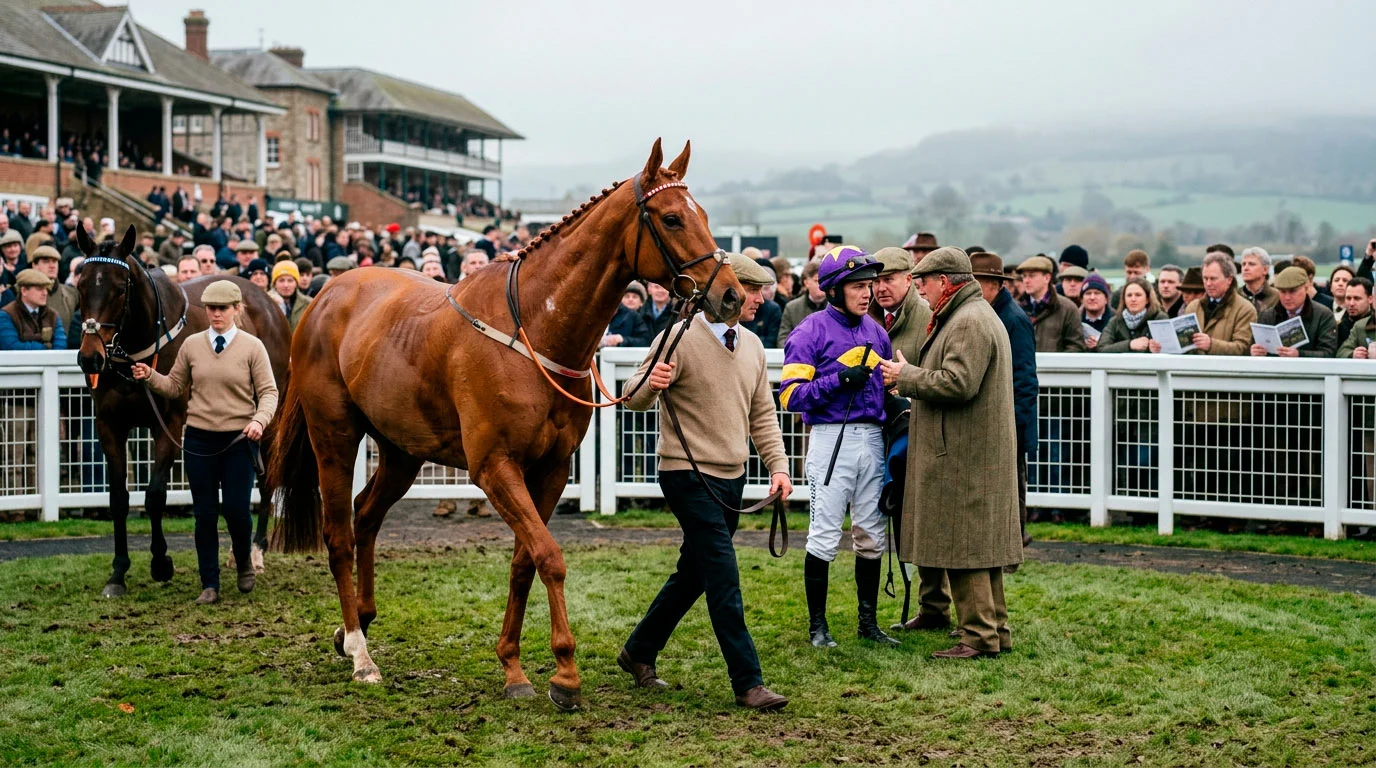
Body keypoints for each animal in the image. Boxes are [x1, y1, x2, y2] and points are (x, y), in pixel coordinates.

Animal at [74, 225, 291, 597]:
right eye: (80, 285)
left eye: (120, 288)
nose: (90, 358)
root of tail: (271, 304)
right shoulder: (109, 425)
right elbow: (118, 498)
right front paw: (118, 572)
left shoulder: (170, 424)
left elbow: (155, 495)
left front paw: (161, 563)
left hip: (269, 415)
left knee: (266, 478)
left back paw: (256, 549)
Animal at [269, 139, 741, 710]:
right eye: (671, 218)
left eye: (705, 216)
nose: (733, 295)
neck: (535, 328)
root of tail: (324, 297)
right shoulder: (495, 467)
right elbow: (549, 555)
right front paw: (566, 675)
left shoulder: (551, 469)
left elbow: (524, 561)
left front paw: (513, 667)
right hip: (334, 436)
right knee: (338, 533)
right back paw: (361, 654)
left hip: (402, 450)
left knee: (366, 516)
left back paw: (353, 623)